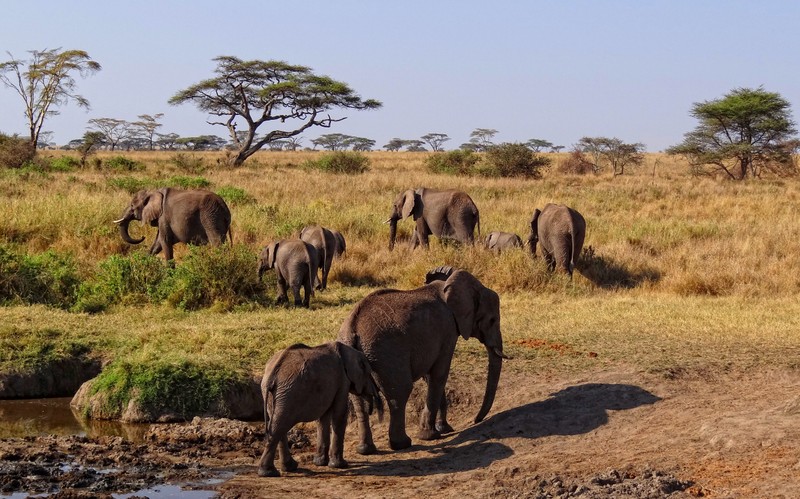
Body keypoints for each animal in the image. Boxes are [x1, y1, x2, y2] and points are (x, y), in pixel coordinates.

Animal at [256, 342, 382, 478]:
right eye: (368, 373)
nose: (372, 409)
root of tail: (271, 376)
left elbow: (323, 418)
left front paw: (320, 463)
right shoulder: (342, 380)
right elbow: (339, 415)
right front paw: (340, 465)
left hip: (275, 394)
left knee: (277, 425)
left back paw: (288, 468)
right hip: (289, 393)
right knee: (279, 426)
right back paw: (269, 472)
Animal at [338, 270, 506, 454]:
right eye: (492, 320)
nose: (476, 420)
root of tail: (352, 329)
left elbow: (430, 376)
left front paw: (444, 429)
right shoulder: (448, 329)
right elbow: (439, 374)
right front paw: (430, 435)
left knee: (358, 401)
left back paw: (365, 450)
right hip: (387, 354)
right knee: (400, 393)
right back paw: (402, 444)